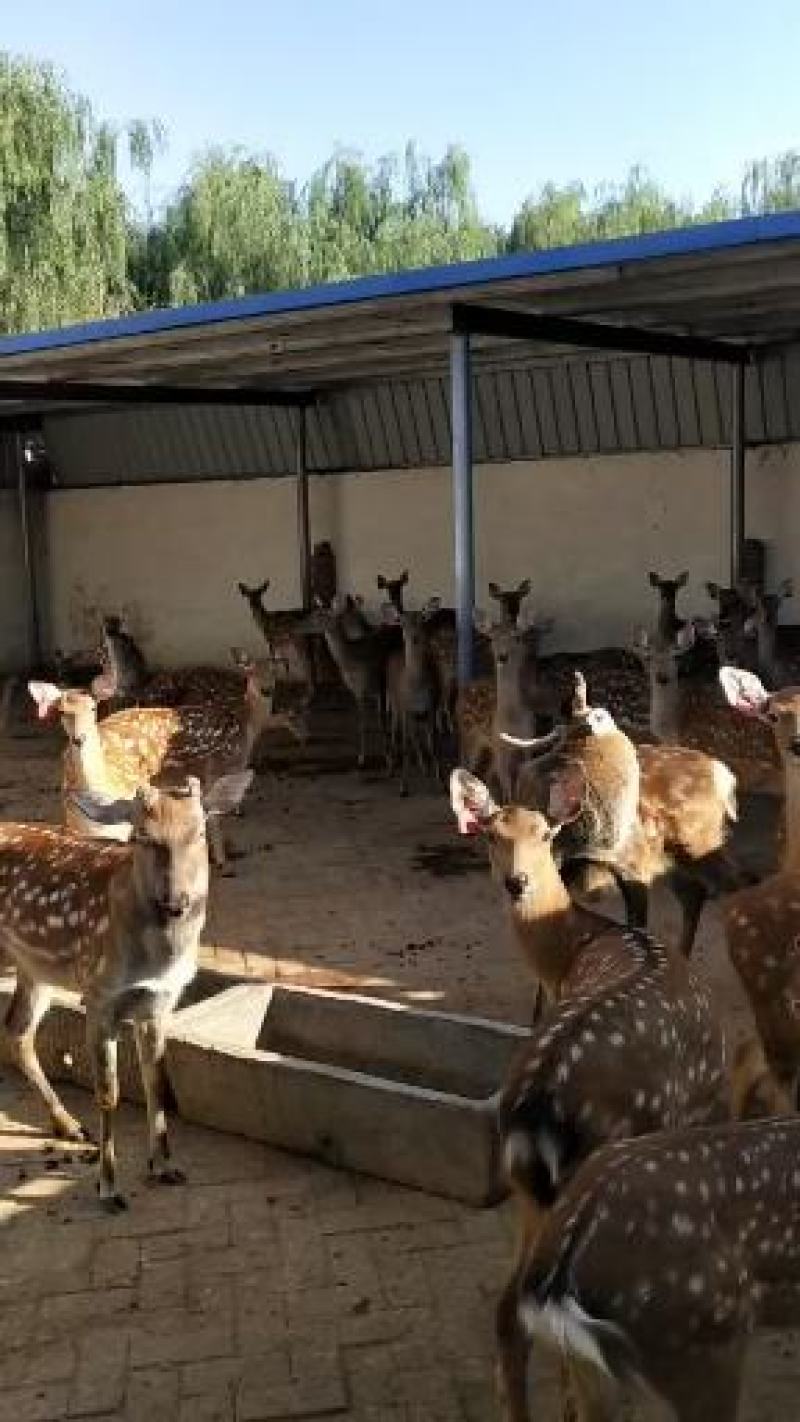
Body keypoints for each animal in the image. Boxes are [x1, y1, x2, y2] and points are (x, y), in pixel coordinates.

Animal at [0, 775, 250, 1211]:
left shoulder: (160, 1002)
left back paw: (68, 1125)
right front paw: (109, 1187)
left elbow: (157, 1081)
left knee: (17, 1029)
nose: (175, 903)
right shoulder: (99, 996)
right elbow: (108, 1094)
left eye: (199, 831)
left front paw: (165, 1166)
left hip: (34, 968)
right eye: (140, 836)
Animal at [449, 766, 745, 1422]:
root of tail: (538, 1109)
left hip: (526, 1185)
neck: (583, 944)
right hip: (601, 1162)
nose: (516, 881)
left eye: (543, 833)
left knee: (513, 1314)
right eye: (491, 834)